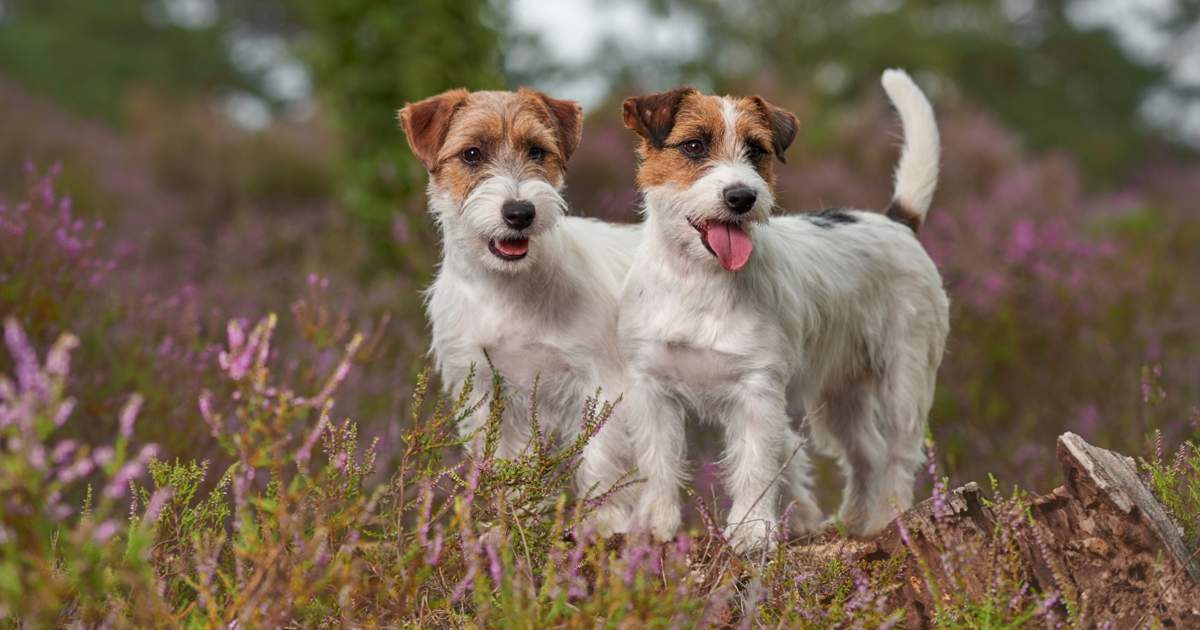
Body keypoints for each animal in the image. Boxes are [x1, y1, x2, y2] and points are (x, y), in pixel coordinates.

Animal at [398, 88, 643, 530]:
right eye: (472, 154)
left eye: (537, 151)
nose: (520, 212)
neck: (507, 290)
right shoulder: (484, 392)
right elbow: (503, 465)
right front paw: (510, 523)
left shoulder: (601, 385)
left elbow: (601, 463)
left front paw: (603, 525)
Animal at [619, 69, 945, 549]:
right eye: (694, 145)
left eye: (756, 149)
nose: (741, 196)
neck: (698, 280)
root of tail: (895, 222)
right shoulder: (652, 389)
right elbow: (659, 463)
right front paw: (654, 526)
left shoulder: (757, 392)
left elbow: (755, 467)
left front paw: (752, 531)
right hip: (839, 395)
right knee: (866, 453)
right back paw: (853, 522)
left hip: (903, 381)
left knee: (898, 454)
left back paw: (892, 519)